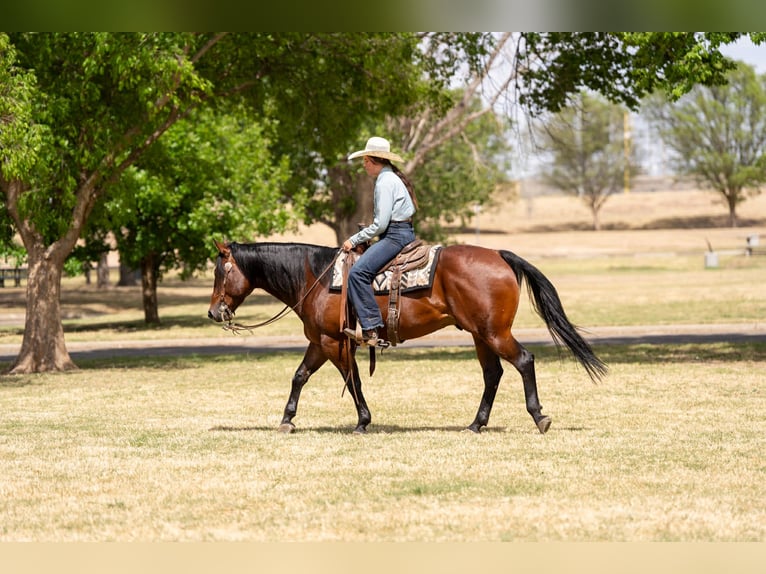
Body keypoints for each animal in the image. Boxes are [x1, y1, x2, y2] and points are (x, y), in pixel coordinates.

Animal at [208, 240, 607, 434]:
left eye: (220, 272)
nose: (213, 312)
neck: (316, 277)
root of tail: (499, 255)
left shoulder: (334, 342)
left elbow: (352, 382)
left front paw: (363, 421)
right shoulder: (320, 341)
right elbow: (300, 376)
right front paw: (287, 419)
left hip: (494, 333)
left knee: (523, 361)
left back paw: (539, 418)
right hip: (481, 335)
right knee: (493, 374)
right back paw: (476, 424)